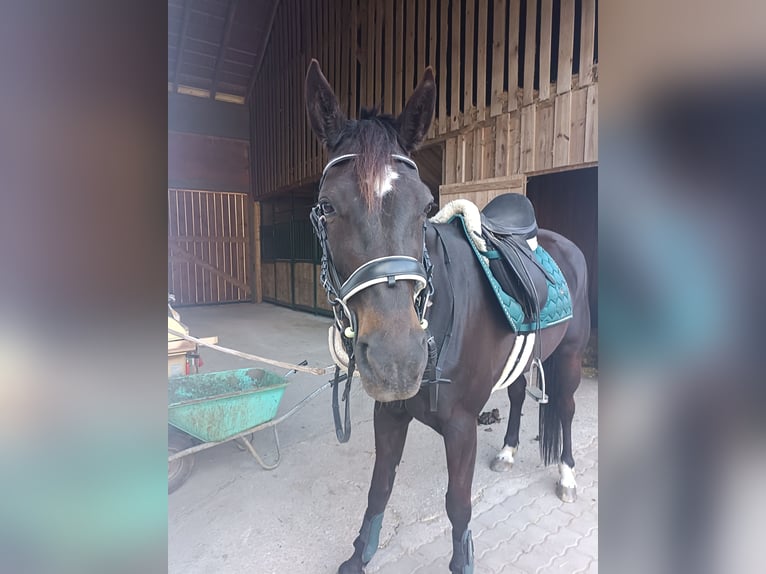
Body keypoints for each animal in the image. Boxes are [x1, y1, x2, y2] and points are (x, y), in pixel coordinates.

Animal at [305, 60, 591, 574]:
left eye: (425, 206)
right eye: (328, 206)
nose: (397, 362)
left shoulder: (461, 428)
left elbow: (458, 505)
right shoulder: (388, 414)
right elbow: (379, 490)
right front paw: (358, 555)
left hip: (572, 358)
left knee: (566, 408)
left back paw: (567, 477)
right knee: (517, 397)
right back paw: (509, 452)